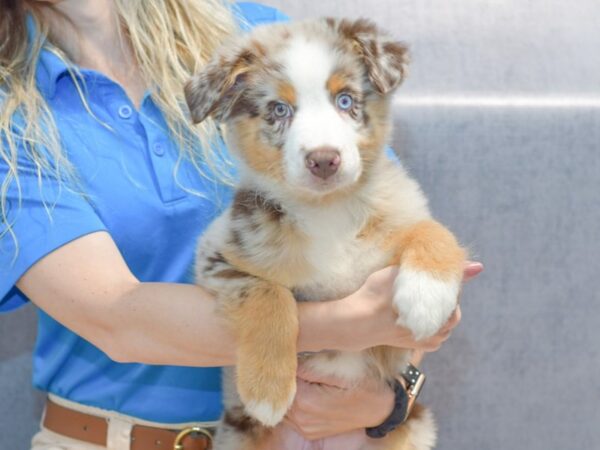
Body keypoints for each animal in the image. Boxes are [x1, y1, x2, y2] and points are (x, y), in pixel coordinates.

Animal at [185, 15, 466, 448]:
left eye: (345, 101)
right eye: (279, 109)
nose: (323, 160)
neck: (327, 211)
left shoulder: (401, 210)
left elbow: (432, 230)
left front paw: (426, 299)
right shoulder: (217, 253)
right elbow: (268, 293)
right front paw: (267, 391)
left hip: (416, 428)